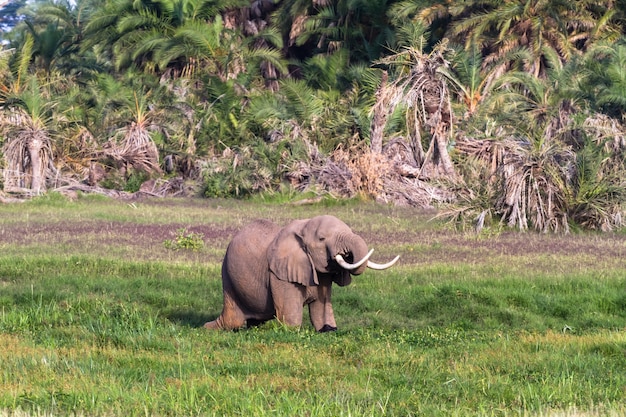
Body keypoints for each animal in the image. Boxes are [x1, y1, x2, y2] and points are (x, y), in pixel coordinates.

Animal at [205, 214, 400, 332]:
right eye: (322, 238)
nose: (347, 254)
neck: (303, 227)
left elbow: (321, 309)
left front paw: (329, 329)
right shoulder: (279, 274)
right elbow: (291, 321)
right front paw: (292, 330)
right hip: (228, 275)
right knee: (234, 320)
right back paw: (209, 328)